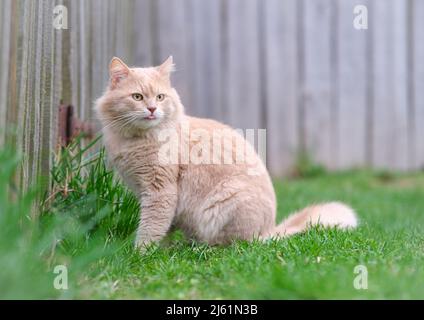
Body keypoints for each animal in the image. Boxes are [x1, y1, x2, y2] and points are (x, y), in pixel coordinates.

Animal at [95, 56, 358, 249]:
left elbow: (151, 227)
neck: (137, 140)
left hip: (226, 201)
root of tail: (269, 229)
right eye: (137, 97)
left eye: (160, 97)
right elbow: (163, 228)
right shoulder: (145, 192)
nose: (151, 109)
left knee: (233, 244)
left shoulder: (161, 191)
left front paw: (141, 253)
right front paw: (163, 250)